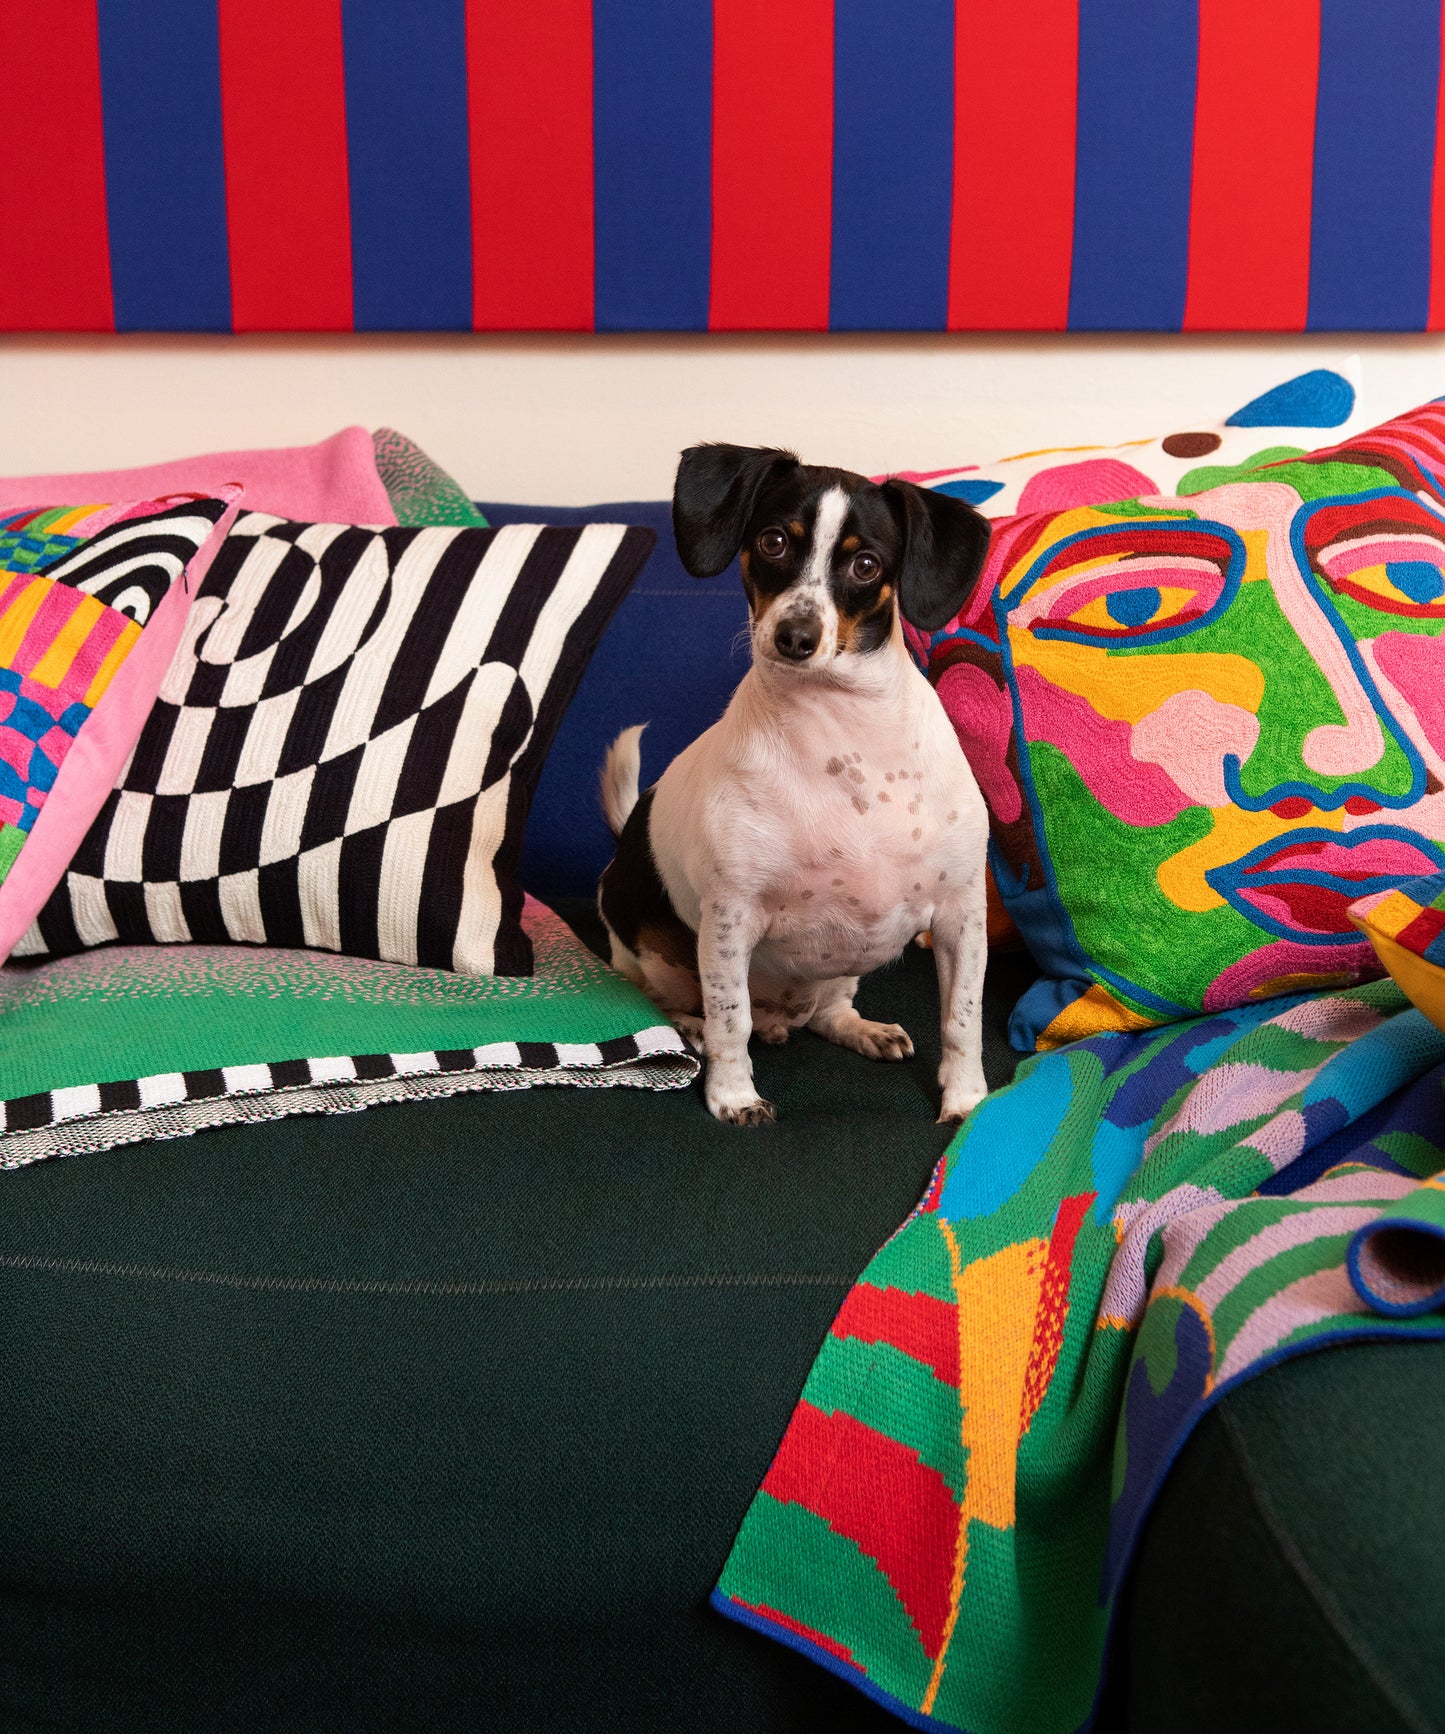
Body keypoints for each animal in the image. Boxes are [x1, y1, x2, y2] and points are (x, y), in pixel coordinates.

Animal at [596, 440, 992, 1130]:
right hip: (651, 950)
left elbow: (962, 1020)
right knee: (674, 1005)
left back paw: (859, 1028)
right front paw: (733, 1095)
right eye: (775, 541)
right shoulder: (730, 920)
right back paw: (691, 1029)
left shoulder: (961, 917)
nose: (795, 637)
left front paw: (966, 1101)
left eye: (866, 563)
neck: (847, 749)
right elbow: (730, 1020)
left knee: (827, 1011)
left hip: (841, 972)